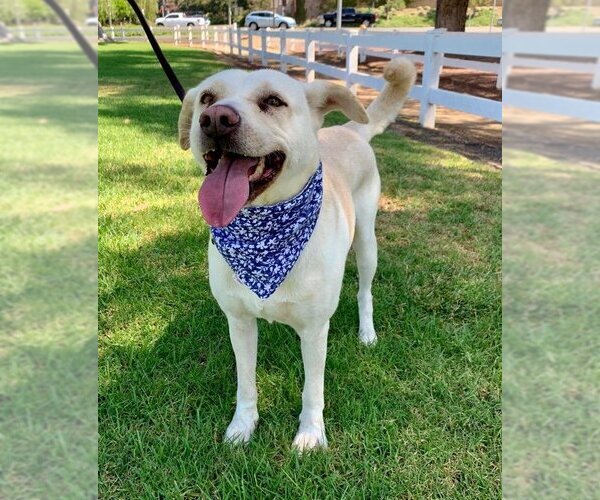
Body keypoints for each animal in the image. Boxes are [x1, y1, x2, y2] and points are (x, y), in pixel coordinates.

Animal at [176, 56, 414, 452]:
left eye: (273, 101)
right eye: (207, 98)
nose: (215, 119)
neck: (265, 236)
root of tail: (348, 129)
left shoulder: (317, 330)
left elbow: (312, 390)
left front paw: (311, 434)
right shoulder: (239, 322)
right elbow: (246, 383)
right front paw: (243, 426)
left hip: (367, 243)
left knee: (365, 291)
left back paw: (367, 332)